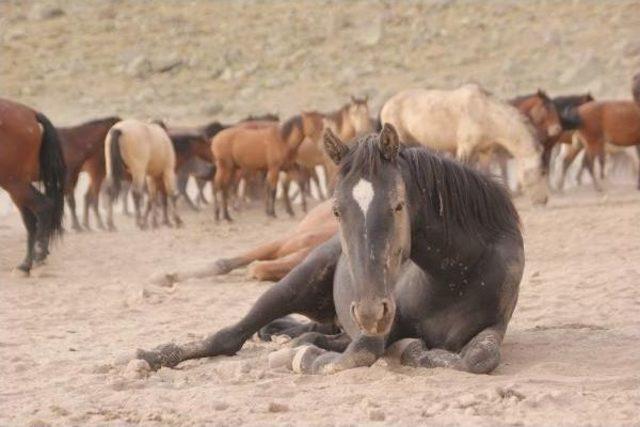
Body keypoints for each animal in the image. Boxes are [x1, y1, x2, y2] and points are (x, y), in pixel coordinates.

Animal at [0, 98, 65, 276]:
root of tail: (31, 113)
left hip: (14, 184)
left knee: (43, 207)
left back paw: (36, 257)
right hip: (18, 186)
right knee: (31, 219)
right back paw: (28, 262)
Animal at [136, 123, 524, 374]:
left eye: (398, 205)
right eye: (336, 209)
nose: (370, 312)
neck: (454, 275)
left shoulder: (493, 327)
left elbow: (479, 359)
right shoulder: (375, 333)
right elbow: (357, 356)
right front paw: (302, 358)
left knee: (310, 331)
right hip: (292, 284)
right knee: (230, 336)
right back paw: (152, 357)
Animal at [380, 84, 552, 205]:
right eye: (543, 172)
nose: (543, 200)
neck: (486, 113)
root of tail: (385, 106)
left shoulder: (485, 152)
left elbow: (486, 172)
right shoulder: (465, 148)